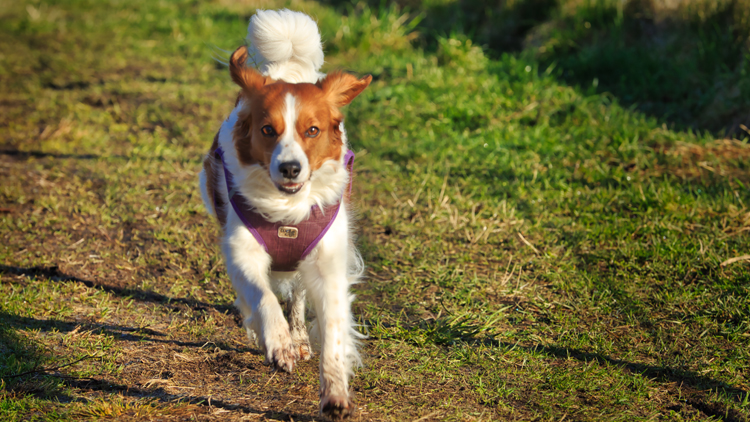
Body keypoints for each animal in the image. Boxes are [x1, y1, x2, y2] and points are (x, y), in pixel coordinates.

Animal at [200, 9, 374, 418]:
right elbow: (262, 296)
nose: (291, 168)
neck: (287, 211)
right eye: (268, 130)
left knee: (296, 296)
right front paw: (277, 342)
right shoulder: (241, 250)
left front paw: (335, 393)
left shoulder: (327, 263)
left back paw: (299, 337)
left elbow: (333, 329)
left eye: (312, 130)